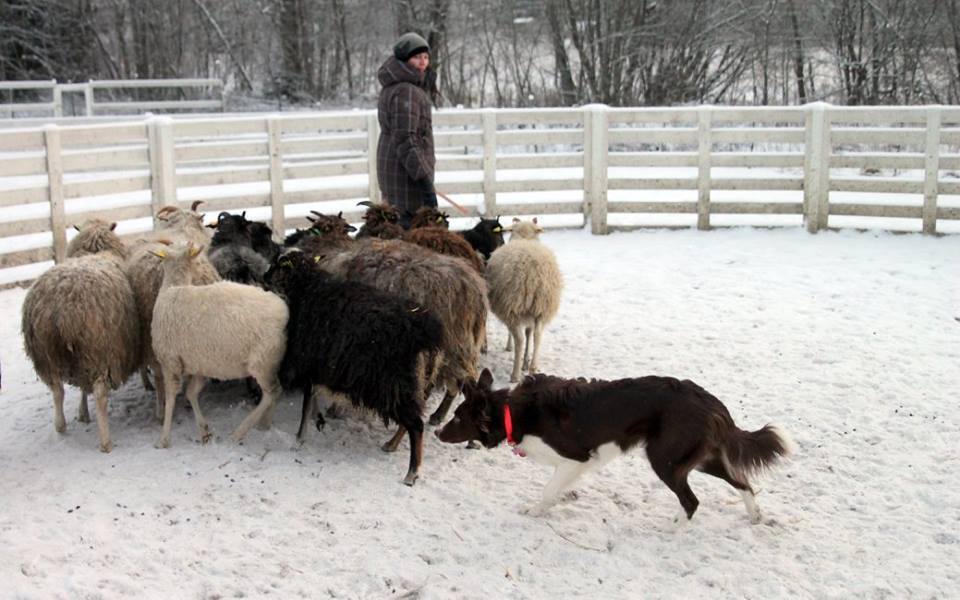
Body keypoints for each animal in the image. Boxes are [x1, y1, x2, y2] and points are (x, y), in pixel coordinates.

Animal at [21, 219, 141, 452]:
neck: (95, 251)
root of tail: (60, 308)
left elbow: (81, 389)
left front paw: (82, 413)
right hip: (98, 350)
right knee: (100, 393)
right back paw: (106, 442)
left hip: (46, 353)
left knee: (57, 390)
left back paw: (60, 426)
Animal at [150, 242, 289, 448]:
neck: (175, 285)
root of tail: (285, 311)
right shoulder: (200, 366)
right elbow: (191, 393)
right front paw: (204, 431)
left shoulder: (170, 362)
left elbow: (171, 396)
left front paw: (164, 438)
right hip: (269, 362)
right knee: (274, 392)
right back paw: (264, 424)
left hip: (263, 362)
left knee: (273, 392)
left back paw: (240, 431)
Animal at [263, 251, 444, 485]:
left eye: (279, 266)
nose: (264, 277)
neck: (307, 290)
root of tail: (425, 336)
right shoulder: (321, 368)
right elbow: (312, 401)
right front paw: (318, 421)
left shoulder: (310, 364)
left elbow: (305, 406)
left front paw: (299, 438)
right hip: (414, 385)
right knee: (413, 420)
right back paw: (392, 445)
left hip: (394, 385)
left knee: (416, 425)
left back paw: (411, 473)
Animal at [436, 368, 796, 523]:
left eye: (457, 417)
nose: (437, 431)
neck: (512, 411)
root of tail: (709, 401)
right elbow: (557, 488)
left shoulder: (575, 457)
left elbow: (548, 489)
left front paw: (536, 510)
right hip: (698, 457)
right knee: (742, 481)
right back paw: (754, 515)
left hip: (665, 460)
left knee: (692, 501)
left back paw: (675, 529)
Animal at [485, 217, 563, 382]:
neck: (525, 238)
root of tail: (532, 274)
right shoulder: (531, 313)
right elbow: (529, 333)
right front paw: (526, 363)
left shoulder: (510, 308)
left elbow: (518, 335)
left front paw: (511, 349)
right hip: (541, 307)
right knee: (537, 336)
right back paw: (533, 368)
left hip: (513, 304)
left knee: (519, 339)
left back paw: (514, 375)